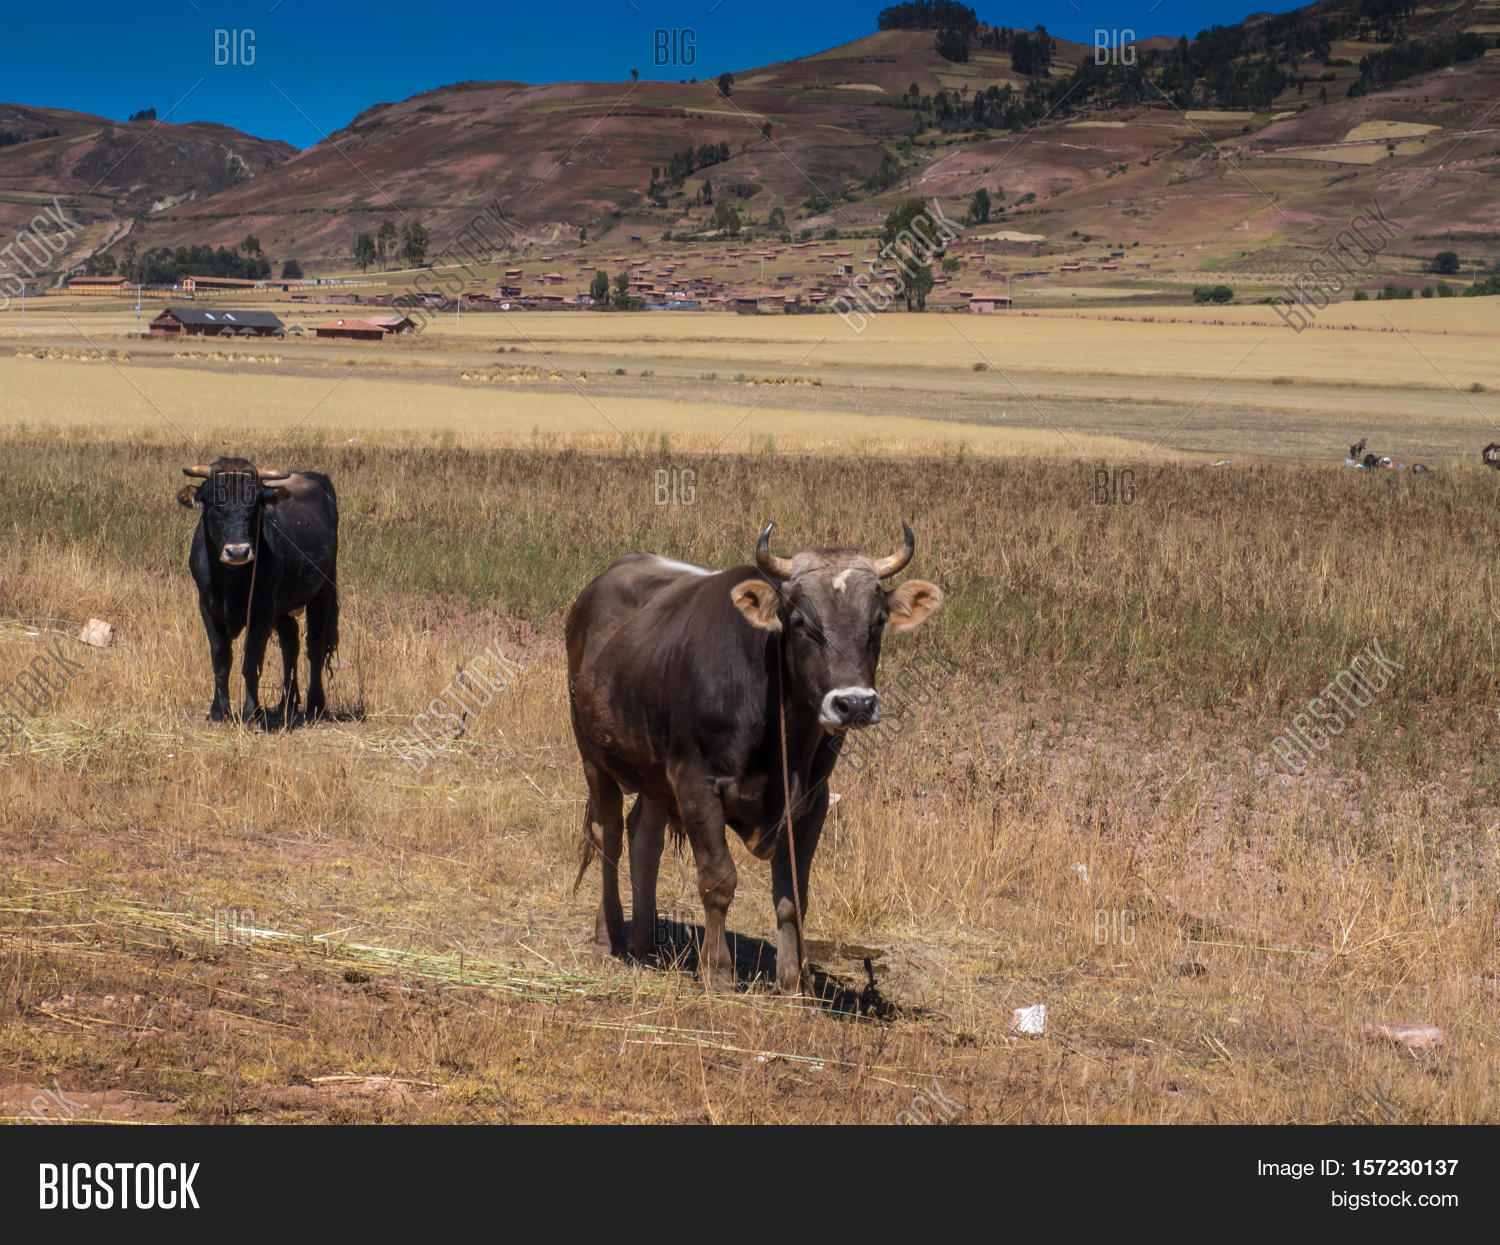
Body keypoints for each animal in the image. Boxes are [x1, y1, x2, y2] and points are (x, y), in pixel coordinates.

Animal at [177, 457, 339, 725]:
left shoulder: (262, 609)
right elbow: (221, 659)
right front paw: (218, 711)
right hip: (283, 608)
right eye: (213, 505)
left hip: (323, 591)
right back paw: (287, 702)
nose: (238, 551)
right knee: (290, 643)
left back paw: (316, 705)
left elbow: (252, 661)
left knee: (314, 646)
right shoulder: (207, 607)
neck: (230, 581)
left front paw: (252, 713)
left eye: (254, 506)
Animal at [565, 521, 943, 995]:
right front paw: (718, 971)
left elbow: (793, 894)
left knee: (644, 840)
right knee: (609, 835)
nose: (854, 704)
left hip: (653, 776)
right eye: (800, 622)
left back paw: (643, 943)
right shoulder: (696, 785)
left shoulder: (814, 800)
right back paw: (608, 936)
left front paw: (794, 980)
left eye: (877, 622)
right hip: (592, 756)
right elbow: (718, 880)